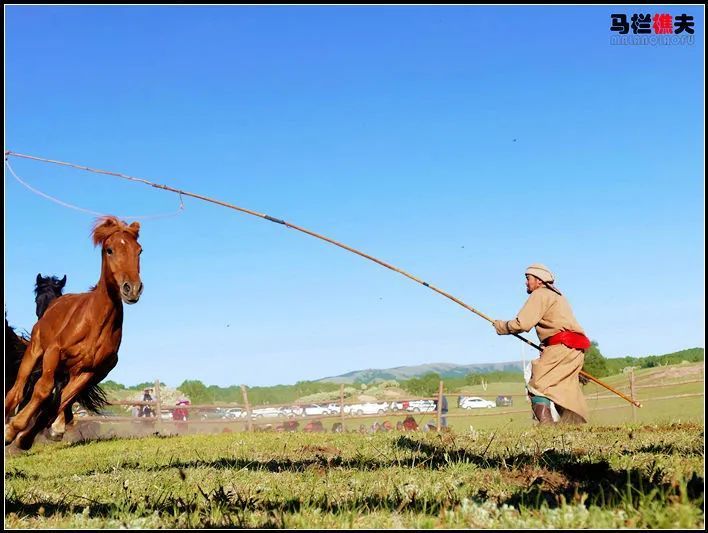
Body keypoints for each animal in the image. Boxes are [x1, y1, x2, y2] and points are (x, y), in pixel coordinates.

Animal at [5, 214, 144, 446]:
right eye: (109, 250)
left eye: (139, 250)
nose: (131, 288)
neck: (95, 323)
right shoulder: (53, 353)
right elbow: (43, 390)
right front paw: (13, 429)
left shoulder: (89, 372)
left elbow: (60, 400)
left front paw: (27, 435)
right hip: (34, 352)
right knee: (17, 390)